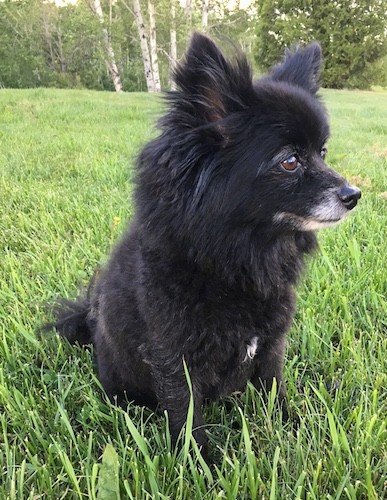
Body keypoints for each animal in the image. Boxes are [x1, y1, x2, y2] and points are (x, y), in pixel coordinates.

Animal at [50, 34, 362, 458]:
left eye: (323, 153)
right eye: (290, 161)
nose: (354, 194)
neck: (238, 258)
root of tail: (88, 317)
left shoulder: (270, 346)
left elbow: (275, 389)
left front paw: (292, 429)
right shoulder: (174, 359)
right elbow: (186, 417)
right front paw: (200, 464)